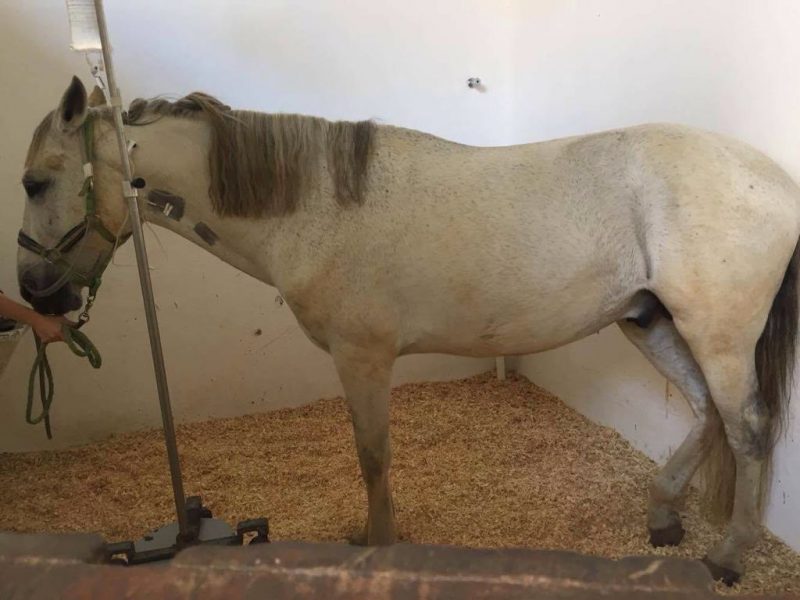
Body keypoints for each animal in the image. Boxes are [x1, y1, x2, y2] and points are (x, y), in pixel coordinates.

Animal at [16, 76, 799, 584]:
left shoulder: (362, 358)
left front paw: (378, 545)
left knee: (748, 428)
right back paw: (664, 516)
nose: (33, 293)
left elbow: (373, 458)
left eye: (34, 182)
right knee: (707, 414)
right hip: (651, 320)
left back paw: (727, 559)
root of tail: (775, 182)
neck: (314, 206)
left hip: (718, 335)